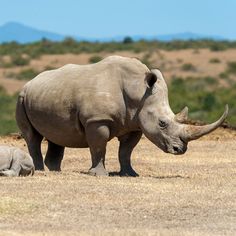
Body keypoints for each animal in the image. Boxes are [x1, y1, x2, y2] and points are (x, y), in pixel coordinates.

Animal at [15, 56, 229, 176]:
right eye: (162, 123)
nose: (180, 150)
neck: (138, 90)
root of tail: (30, 81)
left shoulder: (135, 123)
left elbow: (126, 151)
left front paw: (130, 174)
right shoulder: (97, 120)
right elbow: (99, 147)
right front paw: (99, 174)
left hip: (49, 95)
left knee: (57, 135)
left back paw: (55, 172)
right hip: (22, 98)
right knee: (33, 137)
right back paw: (40, 171)